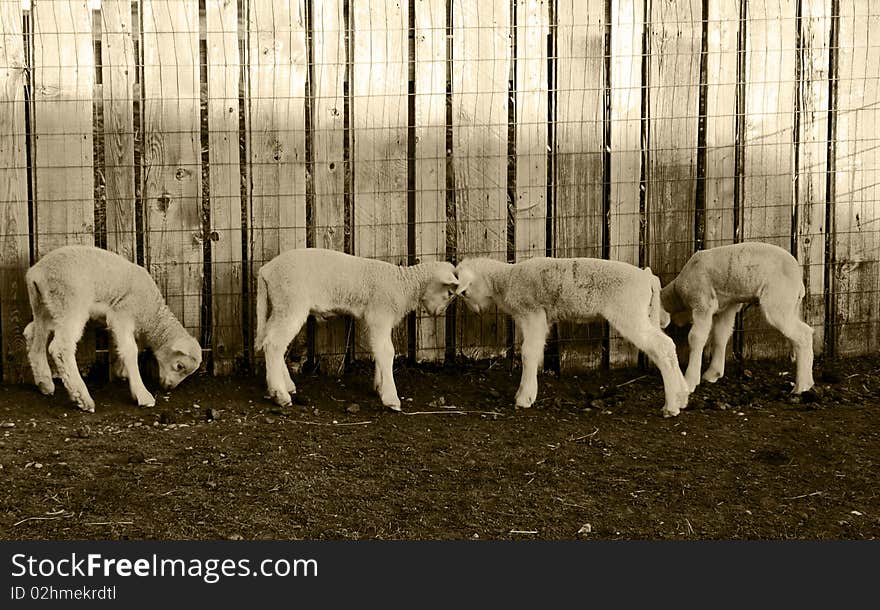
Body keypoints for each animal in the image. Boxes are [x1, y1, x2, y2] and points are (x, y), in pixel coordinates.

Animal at [24, 245, 205, 410]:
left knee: (33, 335)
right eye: (179, 366)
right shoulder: (122, 315)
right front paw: (142, 394)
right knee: (60, 347)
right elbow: (130, 350)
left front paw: (121, 370)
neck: (151, 314)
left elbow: (126, 346)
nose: (169, 387)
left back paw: (44, 382)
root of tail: (37, 272)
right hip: (70, 304)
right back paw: (82, 397)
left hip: (46, 307)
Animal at [254, 247, 458, 408]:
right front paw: (391, 398)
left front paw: (379, 386)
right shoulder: (380, 315)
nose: (438, 312)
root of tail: (266, 270)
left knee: (270, 340)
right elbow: (387, 352)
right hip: (291, 302)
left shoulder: (373, 320)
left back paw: (286, 385)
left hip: (281, 305)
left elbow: (377, 350)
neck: (404, 285)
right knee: (274, 344)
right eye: (449, 293)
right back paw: (280, 395)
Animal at [458, 254, 692, 416]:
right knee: (667, 346)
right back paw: (682, 396)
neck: (505, 280)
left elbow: (528, 354)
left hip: (629, 313)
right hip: (646, 314)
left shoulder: (533, 313)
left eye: (464, 292)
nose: (475, 311)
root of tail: (647, 277)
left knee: (662, 347)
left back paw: (671, 406)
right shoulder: (540, 320)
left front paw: (524, 397)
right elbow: (535, 352)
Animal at [656, 240, 816, 392]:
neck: (677, 297)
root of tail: (799, 281)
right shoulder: (727, 307)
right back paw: (807, 383)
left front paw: (689, 381)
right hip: (791, 307)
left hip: (778, 302)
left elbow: (696, 338)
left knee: (803, 335)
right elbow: (721, 335)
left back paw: (801, 386)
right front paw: (713, 373)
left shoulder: (702, 303)